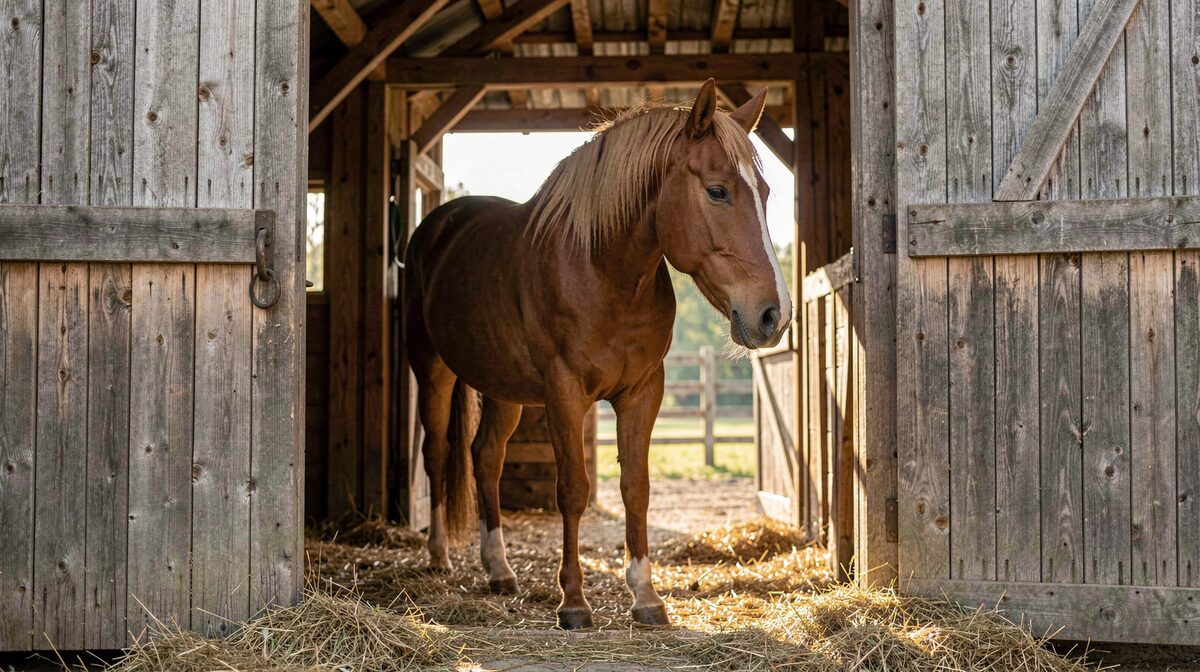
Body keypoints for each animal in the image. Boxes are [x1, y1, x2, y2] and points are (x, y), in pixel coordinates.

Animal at [404, 79, 792, 630]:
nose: (773, 315)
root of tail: (437, 226)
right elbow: (574, 489)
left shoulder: (643, 392)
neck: (603, 271)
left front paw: (646, 596)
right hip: (432, 370)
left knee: (485, 457)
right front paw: (573, 601)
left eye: (764, 192)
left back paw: (499, 569)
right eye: (718, 191)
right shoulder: (565, 392)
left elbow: (635, 486)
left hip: (502, 388)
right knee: (437, 453)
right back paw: (439, 555)